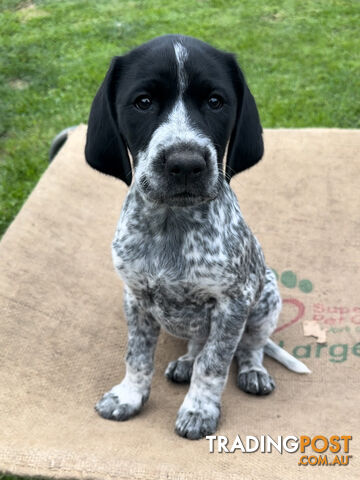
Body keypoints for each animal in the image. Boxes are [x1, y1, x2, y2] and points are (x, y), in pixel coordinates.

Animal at [85, 33, 310, 438]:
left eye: (215, 101)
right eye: (143, 102)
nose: (186, 164)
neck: (171, 226)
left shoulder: (233, 303)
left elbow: (215, 365)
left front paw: (199, 410)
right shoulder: (135, 297)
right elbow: (137, 356)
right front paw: (129, 396)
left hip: (266, 297)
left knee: (249, 345)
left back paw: (252, 371)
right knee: (197, 343)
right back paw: (185, 361)